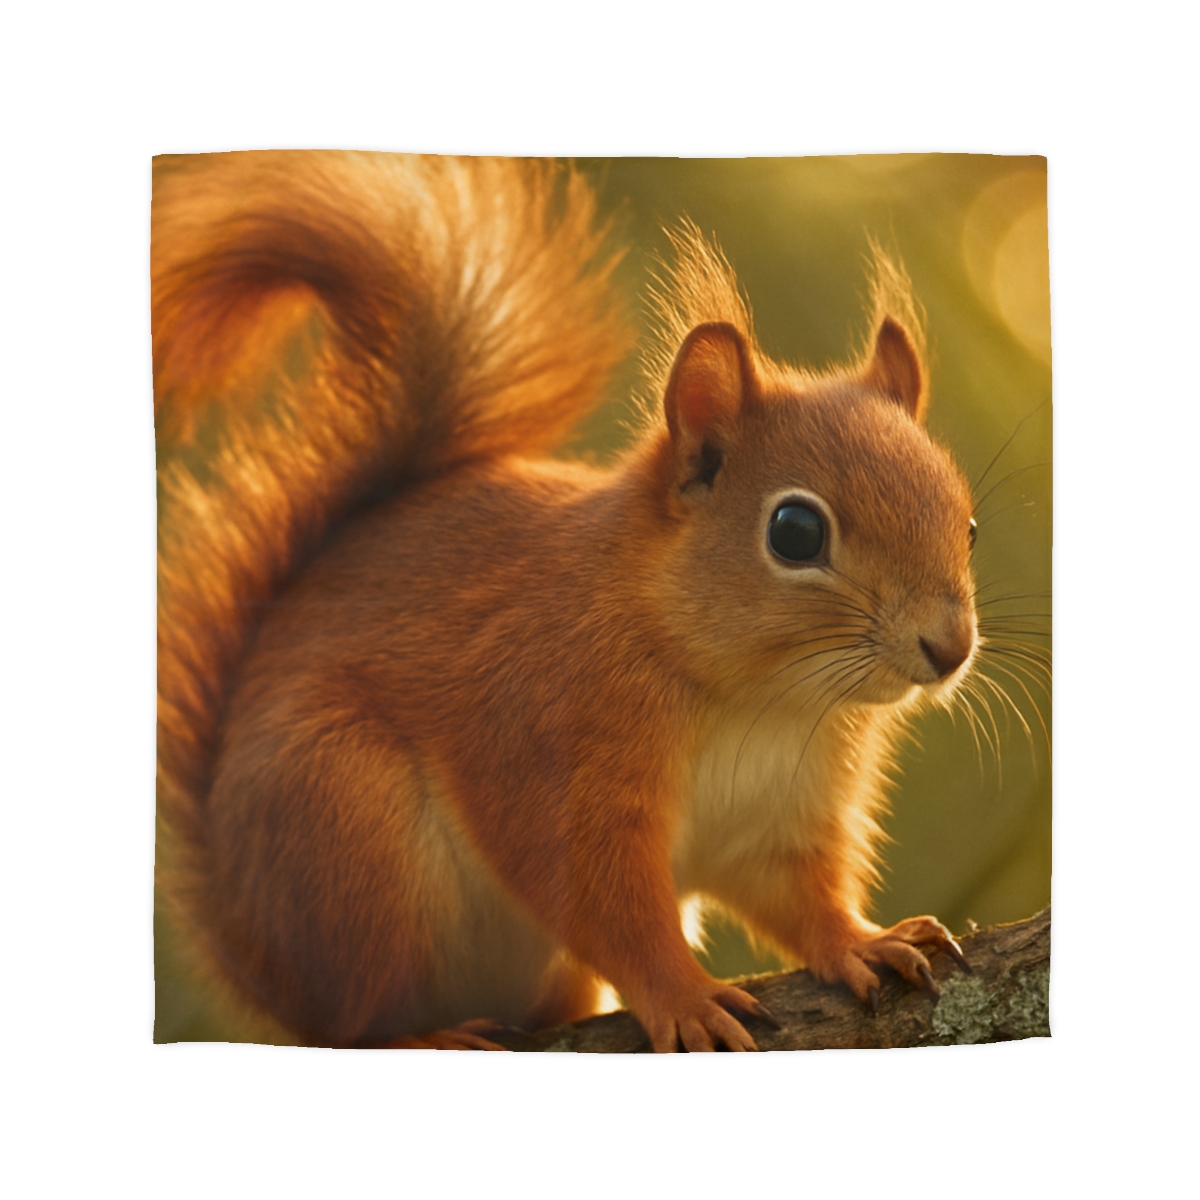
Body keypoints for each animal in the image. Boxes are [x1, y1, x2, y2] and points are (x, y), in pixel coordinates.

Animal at [154, 150, 977, 1051]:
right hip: (345, 832)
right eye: (795, 532)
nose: (950, 647)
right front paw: (686, 997)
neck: (759, 698)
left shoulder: (782, 816)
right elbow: (605, 904)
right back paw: (424, 1038)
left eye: (968, 522)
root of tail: (252, 952)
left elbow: (798, 896)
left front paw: (861, 940)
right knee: (355, 1021)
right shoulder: (551, 752)